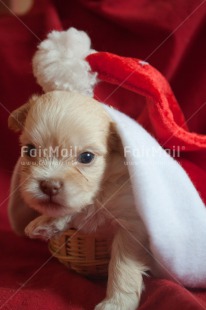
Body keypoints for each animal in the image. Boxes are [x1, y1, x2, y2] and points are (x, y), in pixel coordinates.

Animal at [8, 91, 150, 310]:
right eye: (30, 151)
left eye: (87, 157)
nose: (49, 186)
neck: (99, 193)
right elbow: (75, 209)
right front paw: (45, 223)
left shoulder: (132, 224)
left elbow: (122, 266)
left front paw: (116, 303)